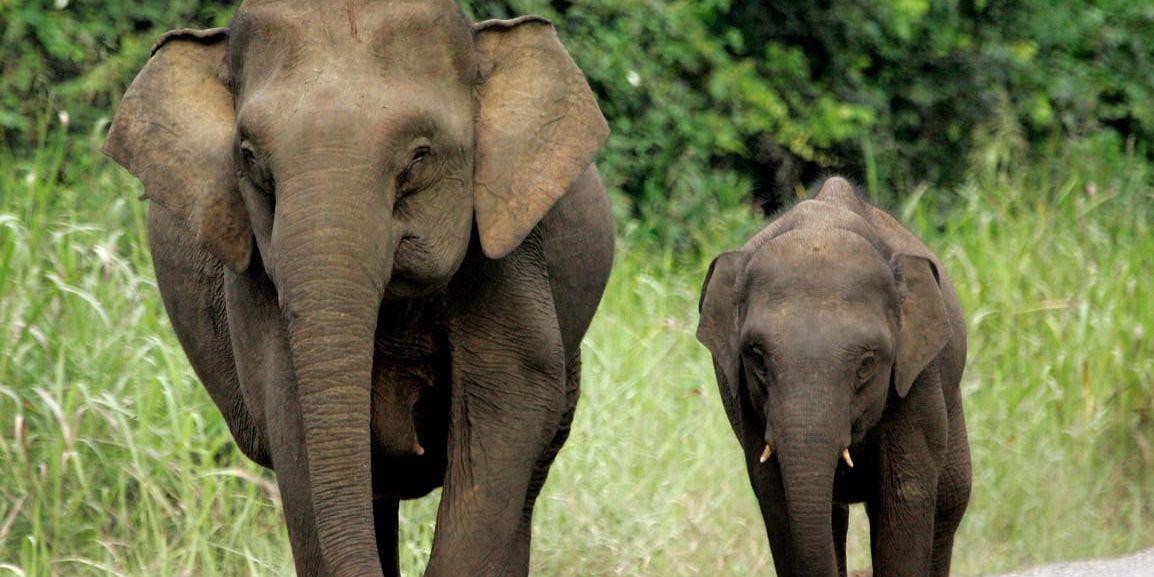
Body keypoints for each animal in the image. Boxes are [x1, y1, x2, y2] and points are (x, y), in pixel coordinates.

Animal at [697, 176, 969, 577]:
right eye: (757, 358)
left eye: (867, 362)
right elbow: (776, 498)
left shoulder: (918, 379)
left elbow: (905, 494)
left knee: (952, 499)